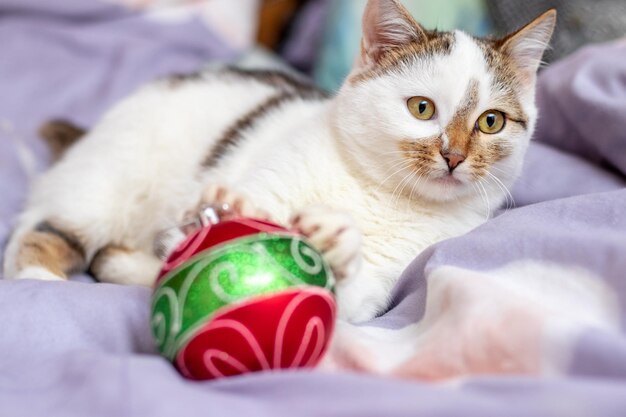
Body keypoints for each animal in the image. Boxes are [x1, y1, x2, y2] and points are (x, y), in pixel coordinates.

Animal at [2, 0, 552, 324]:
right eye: (422, 108)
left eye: (491, 122)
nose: (454, 156)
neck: (379, 191)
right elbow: (207, 233)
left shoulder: (387, 279)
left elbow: (344, 302)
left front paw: (334, 244)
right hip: (110, 181)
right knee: (45, 227)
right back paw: (40, 282)